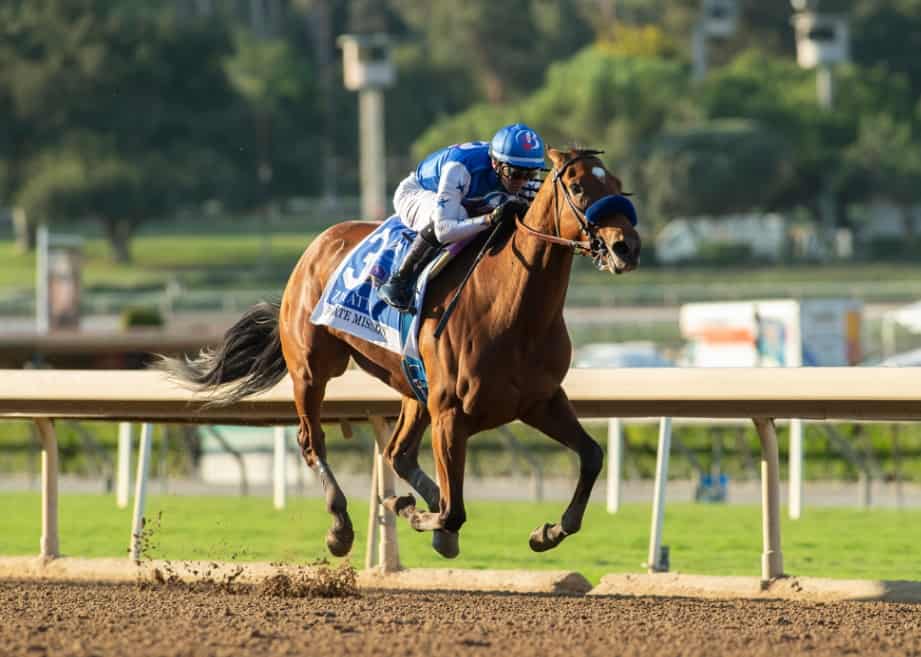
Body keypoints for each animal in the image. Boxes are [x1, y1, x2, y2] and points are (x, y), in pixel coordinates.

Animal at [158, 147, 636, 560]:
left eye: (616, 183)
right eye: (577, 187)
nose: (626, 247)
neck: (511, 309)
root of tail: (318, 244)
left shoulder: (540, 400)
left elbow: (592, 456)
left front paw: (548, 531)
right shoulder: (450, 412)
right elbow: (454, 511)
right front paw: (413, 512)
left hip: (411, 384)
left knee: (397, 453)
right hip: (313, 370)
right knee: (313, 442)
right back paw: (341, 528)